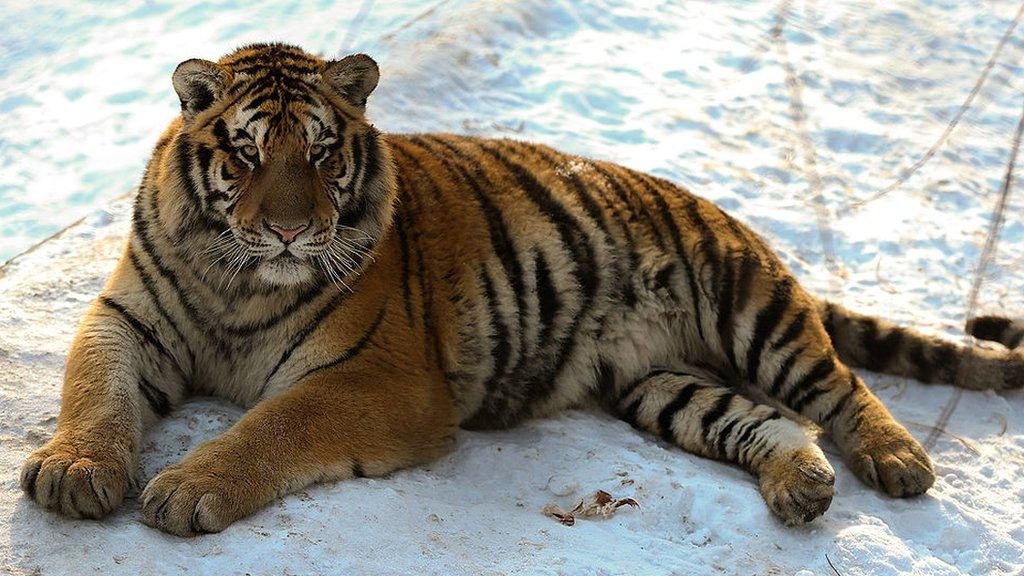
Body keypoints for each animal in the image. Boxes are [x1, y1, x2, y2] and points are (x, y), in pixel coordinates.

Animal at [18, 43, 1024, 532]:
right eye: (248, 152)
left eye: (323, 152)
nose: (291, 230)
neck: (236, 281)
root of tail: (728, 215)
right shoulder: (127, 318)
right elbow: (95, 392)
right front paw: (73, 470)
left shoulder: (382, 377)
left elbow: (276, 426)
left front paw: (188, 489)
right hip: (658, 384)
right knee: (765, 422)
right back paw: (801, 489)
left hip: (753, 308)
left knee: (840, 389)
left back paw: (896, 461)